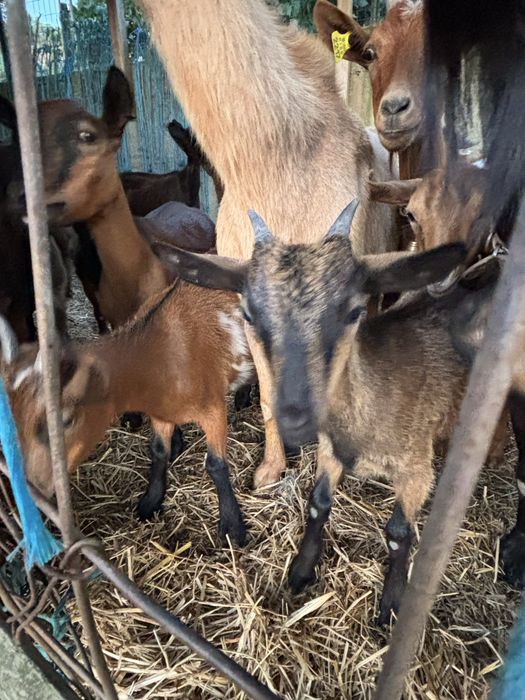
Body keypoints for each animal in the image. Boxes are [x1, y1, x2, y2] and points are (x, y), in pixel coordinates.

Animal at [0, 277, 254, 543]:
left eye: (66, 419)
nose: (34, 490)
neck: (163, 354)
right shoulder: (161, 413)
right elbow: (158, 451)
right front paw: (150, 502)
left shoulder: (213, 408)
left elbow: (216, 465)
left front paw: (233, 527)